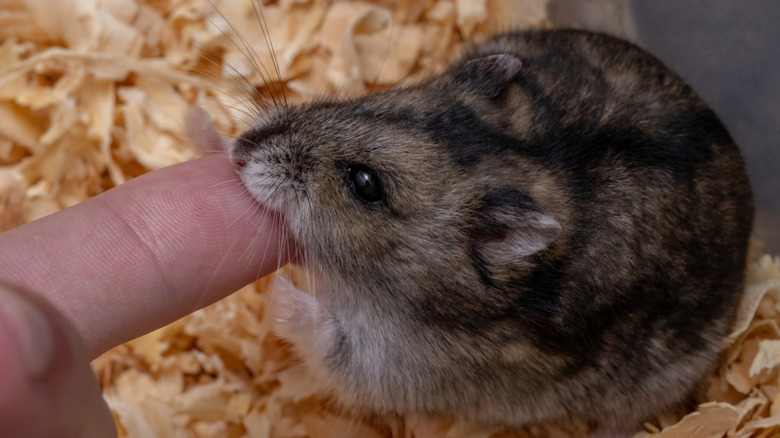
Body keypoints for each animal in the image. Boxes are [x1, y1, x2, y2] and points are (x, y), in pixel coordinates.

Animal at [229, 29, 752, 432]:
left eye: (365, 184)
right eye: (369, 100)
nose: (239, 150)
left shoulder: (391, 365)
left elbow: (322, 336)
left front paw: (275, 289)